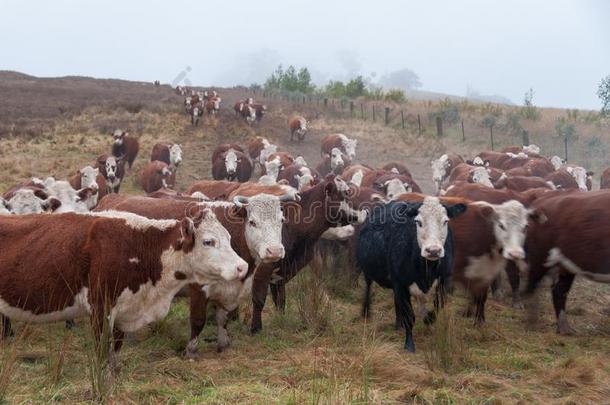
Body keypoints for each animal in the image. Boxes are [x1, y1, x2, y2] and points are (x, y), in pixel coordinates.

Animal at [0, 208, 247, 362]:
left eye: (229, 238)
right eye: (208, 241)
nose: (242, 266)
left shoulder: (123, 312)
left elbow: (115, 355)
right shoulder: (100, 309)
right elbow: (101, 357)